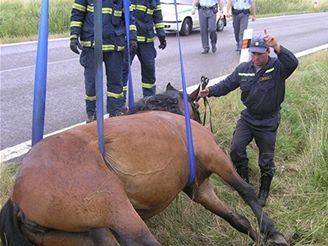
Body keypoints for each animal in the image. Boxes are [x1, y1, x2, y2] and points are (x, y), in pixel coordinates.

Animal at [0, 85, 288, 245]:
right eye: (196, 107)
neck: (174, 118)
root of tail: (17, 198)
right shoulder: (216, 158)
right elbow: (246, 191)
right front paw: (273, 232)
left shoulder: (200, 189)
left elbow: (236, 219)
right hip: (121, 214)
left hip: (94, 236)